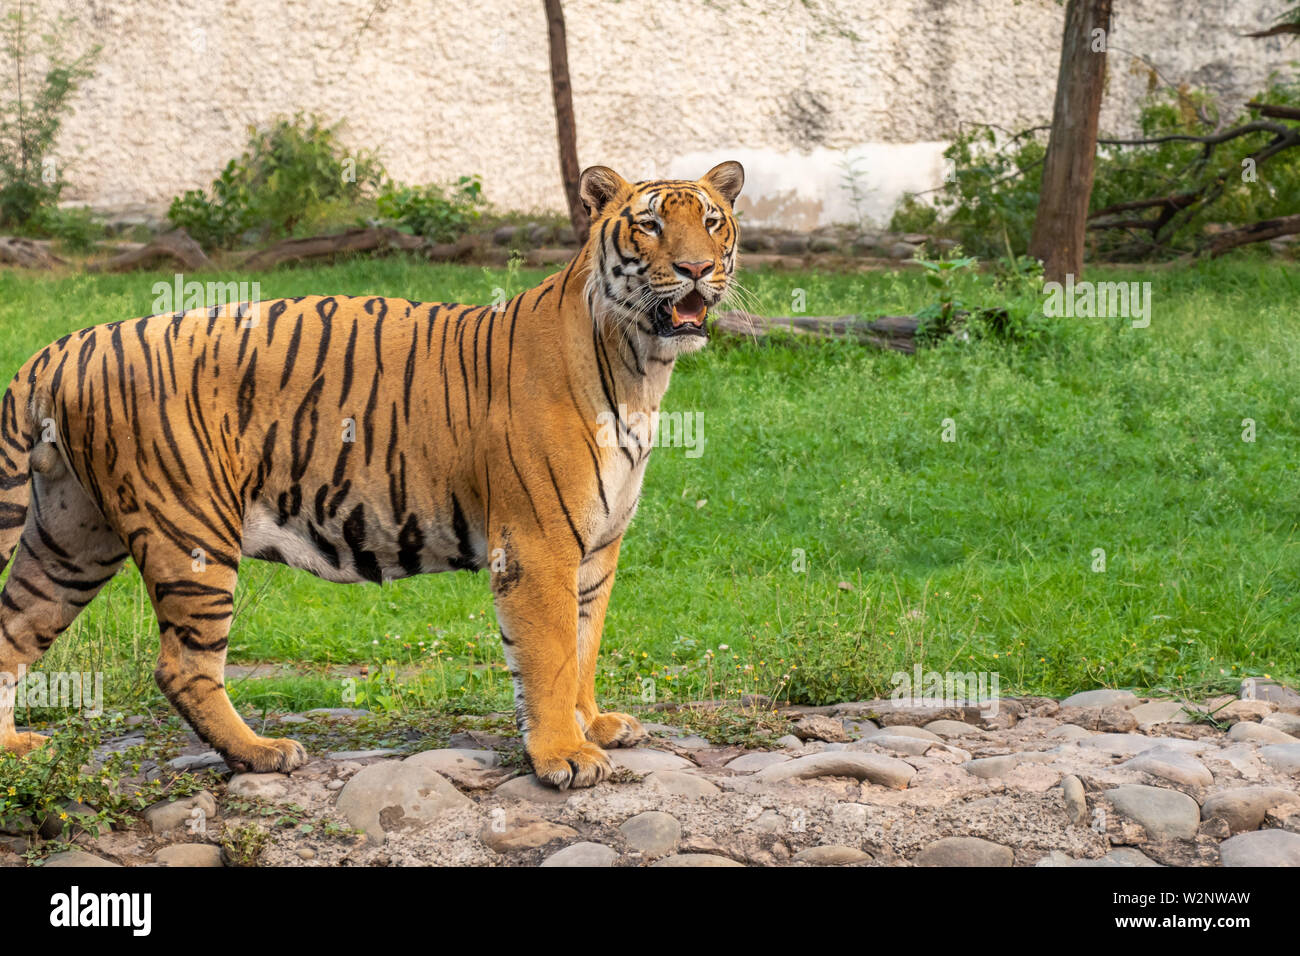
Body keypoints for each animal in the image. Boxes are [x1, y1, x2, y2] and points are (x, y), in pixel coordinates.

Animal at [0, 160, 743, 790]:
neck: (641, 366)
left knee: (12, 629)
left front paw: (594, 725)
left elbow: (585, 645)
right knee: (182, 666)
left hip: (72, 539)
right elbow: (550, 653)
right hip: (190, 532)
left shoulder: (597, 547)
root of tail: (67, 345)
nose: (697, 268)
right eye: (649, 224)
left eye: (712, 221)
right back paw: (260, 753)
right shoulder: (539, 545)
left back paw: (14, 749)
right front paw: (564, 754)